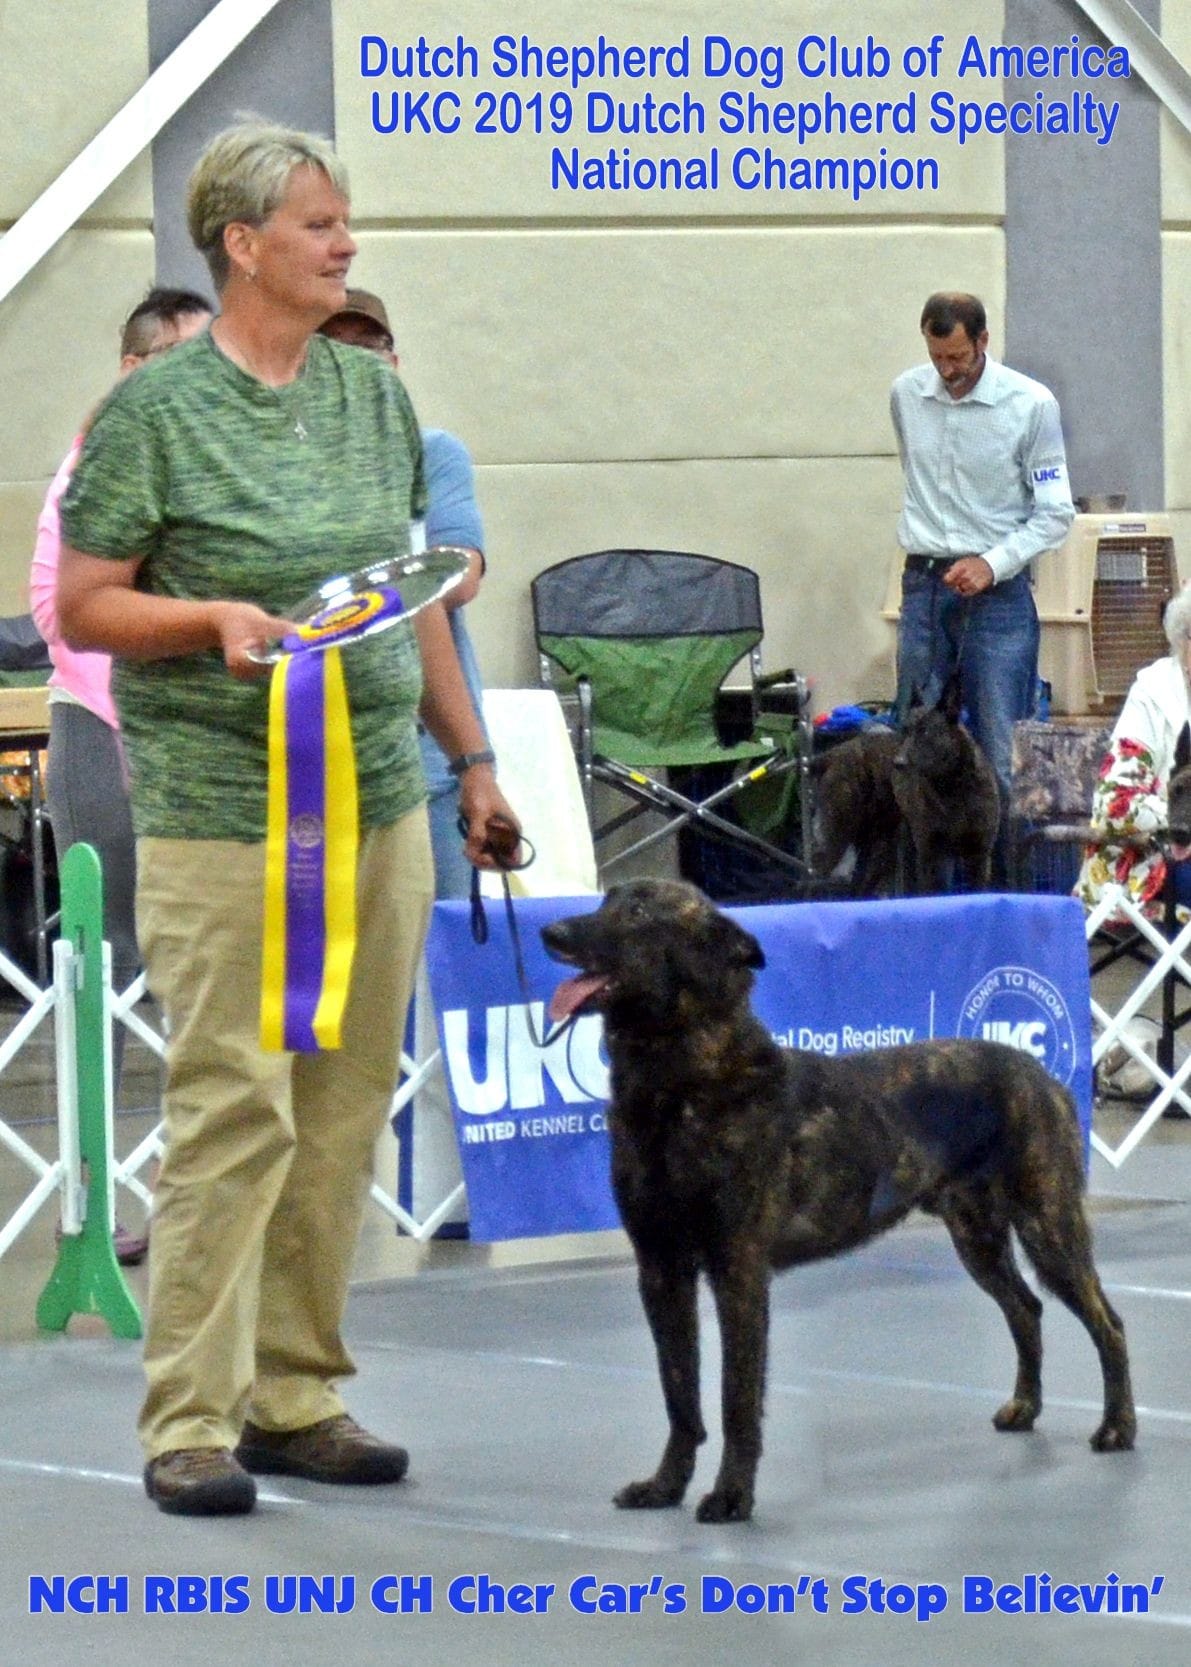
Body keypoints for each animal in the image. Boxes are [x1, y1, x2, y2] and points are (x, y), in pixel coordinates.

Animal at [540, 886, 1134, 1526]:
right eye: (607, 901)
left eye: (640, 914)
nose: (550, 933)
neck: (684, 1081)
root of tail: (1043, 1076)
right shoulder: (660, 1270)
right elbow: (680, 1395)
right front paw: (665, 1486)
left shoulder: (737, 1270)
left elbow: (734, 1397)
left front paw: (731, 1496)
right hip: (977, 1237)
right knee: (1025, 1309)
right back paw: (1025, 1408)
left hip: (1049, 1226)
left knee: (1108, 1323)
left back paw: (1117, 1429)